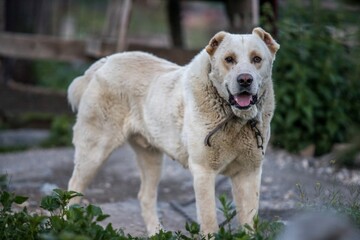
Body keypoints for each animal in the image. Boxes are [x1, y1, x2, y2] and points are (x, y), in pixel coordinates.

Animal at [68, 27, 282, 235]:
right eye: (229, 59)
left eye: (256, 59)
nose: (245, 79)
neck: (235, 119)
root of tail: (105, 62)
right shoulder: (203, 172)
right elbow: (209, 222)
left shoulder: (249, 173)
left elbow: (250, 223)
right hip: (94, 153)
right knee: (73, 189)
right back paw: (66, 225)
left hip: (151, 157)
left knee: (145, 196)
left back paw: (157, 232)